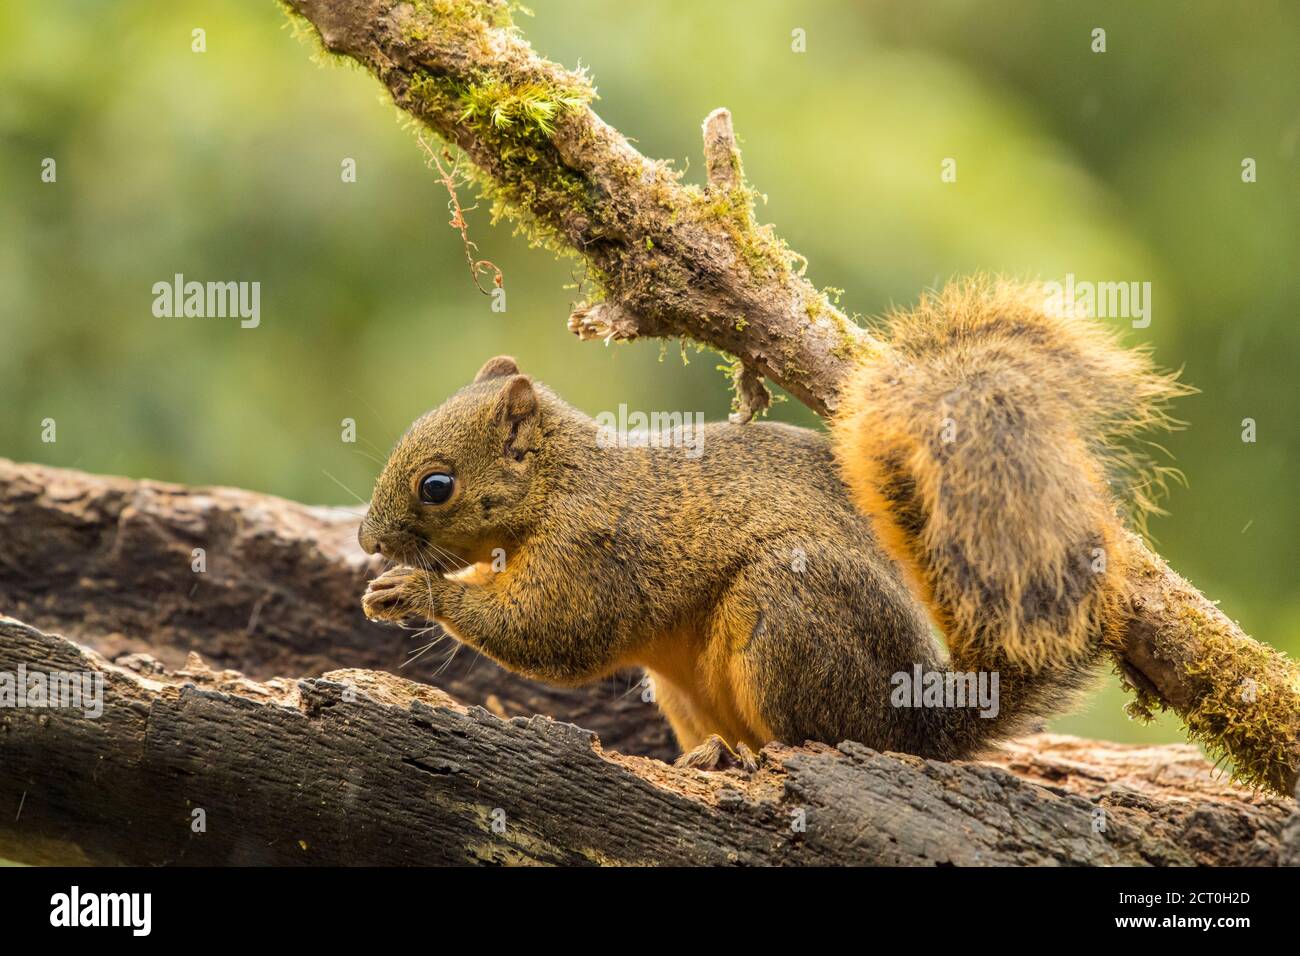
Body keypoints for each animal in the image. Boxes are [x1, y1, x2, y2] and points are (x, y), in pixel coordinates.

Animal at [361, 280, 1185, 775]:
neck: (559, 487)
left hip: (788, 614)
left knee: (824, 736)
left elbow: (554, 632)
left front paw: (417, 593)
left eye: (436, 486)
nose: (368, 540)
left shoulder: (593, 551)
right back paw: (714, 757)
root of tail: (923, 724)